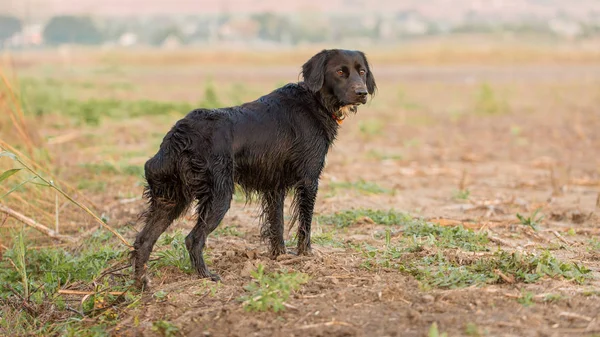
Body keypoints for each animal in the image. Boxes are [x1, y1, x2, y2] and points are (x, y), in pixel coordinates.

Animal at [131, 49, 376, 286]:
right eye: (340, 72)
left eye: (362, 71)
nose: (362, 93)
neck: (315, 101)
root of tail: (180, 134)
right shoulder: (309, 179)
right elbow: (304, 223)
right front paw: (306, 256)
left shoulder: (275, 186)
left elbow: (277, 224)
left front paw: (280, 256)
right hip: (218, 195)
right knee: (193, 238)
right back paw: (206, 276)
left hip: (170, 198)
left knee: (143, 240)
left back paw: (141, 283)